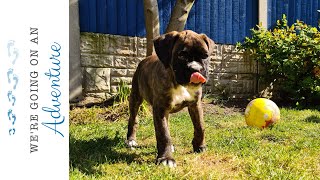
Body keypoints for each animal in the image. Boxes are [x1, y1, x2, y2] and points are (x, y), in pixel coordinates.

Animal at [126, 29, 214, 167]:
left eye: (205, 56)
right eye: (181, 55)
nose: (196, 69)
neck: (179, 83)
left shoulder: (195, 104)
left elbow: (200, 126)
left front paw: (200, 146)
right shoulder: (160, 109)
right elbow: (163, 134)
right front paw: (166, 159)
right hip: (135, 98)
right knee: (133, 119)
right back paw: (131, 140)